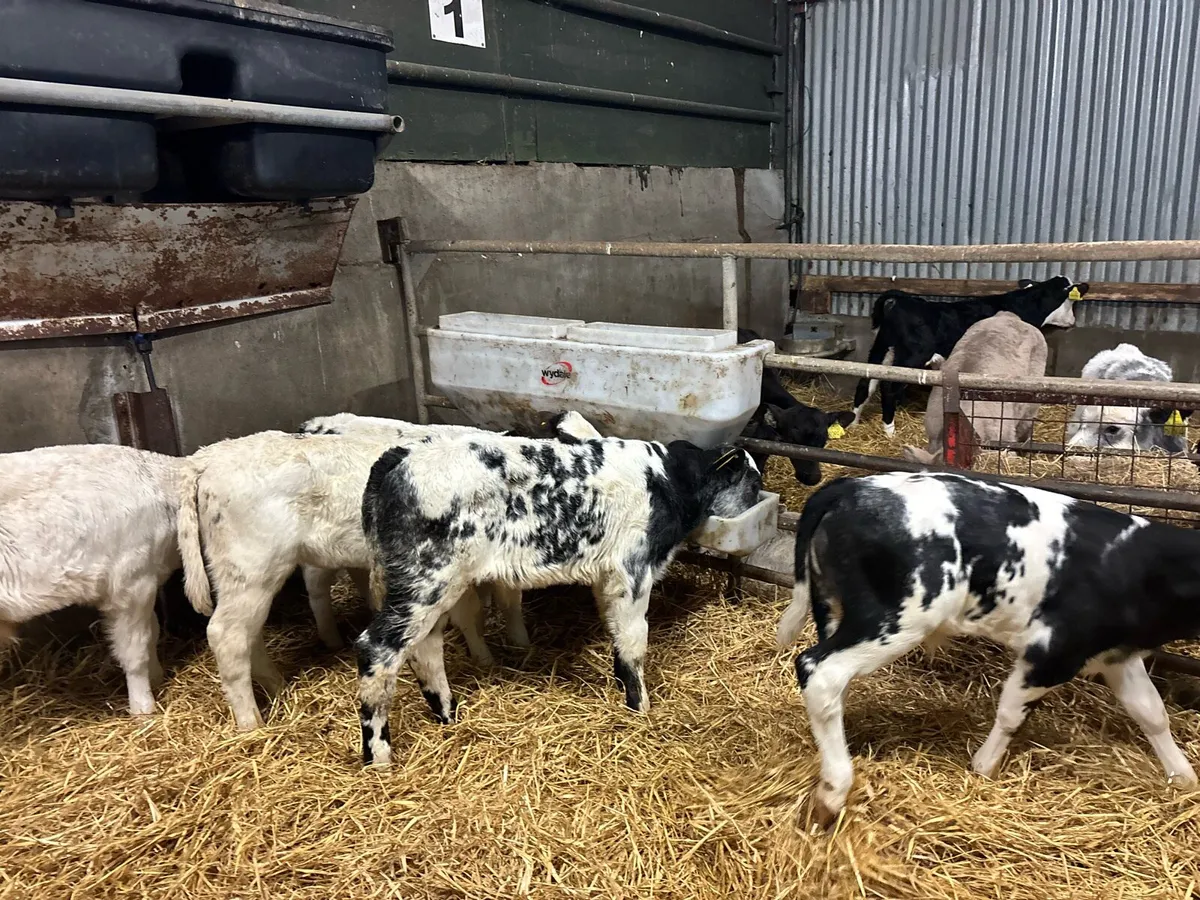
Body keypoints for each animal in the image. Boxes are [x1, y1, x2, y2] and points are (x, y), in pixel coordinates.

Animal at [0, 444, 181, 716]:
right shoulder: (131, 584)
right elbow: (135, 652)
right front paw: (143, 708)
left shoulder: (146, 580)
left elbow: (153, 632)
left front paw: (157, 678)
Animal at [356, 434, 763, 766]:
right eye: (755, 483)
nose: (758, 502)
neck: (668, 481)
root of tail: (397, 457)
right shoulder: (632, 570)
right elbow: (634, 642)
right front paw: (640, 706)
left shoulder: (607, 577)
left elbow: (616, 633)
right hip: (426, 581)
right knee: (377, 649)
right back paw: (378, 755)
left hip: (431, 587)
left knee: (425, 648)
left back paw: (447, 713)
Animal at [776, 471, 1200, 828]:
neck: (1138, 568)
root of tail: (851, 485)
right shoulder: (1051, 652)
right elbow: (1012, 713)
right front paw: (983, 766)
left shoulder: (1115, 655)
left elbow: (1152, 713)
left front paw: (1184, 777)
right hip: (895, 619)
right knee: (820, 671)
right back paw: (833, 792)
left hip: (834, 608)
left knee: (831, 683)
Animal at [851, 277, 1087, 436]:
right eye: (1071, 301)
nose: (1073, 322)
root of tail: (900, 300)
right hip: (911, 356)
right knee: (889, 388)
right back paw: (889, 430)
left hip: (881, 350)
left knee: (866, 382)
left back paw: (853, 422)